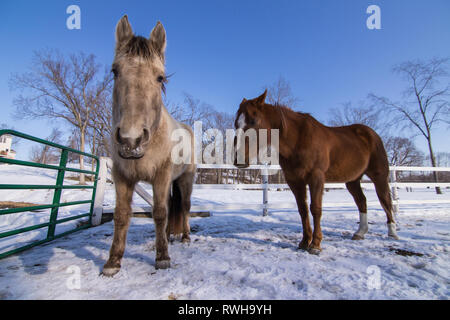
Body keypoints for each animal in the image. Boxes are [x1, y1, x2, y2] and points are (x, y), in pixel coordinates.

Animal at [103, 15, 196, 276]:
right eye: (115, 71)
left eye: (160, 77)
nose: (130, 140)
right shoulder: (122, 177)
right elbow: (122, 215)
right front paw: (113, 262)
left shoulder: (161, 176)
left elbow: (160, 213)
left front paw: (162, 257)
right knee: (170, 207)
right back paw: (169, 237)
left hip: (185, 179)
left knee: (184, 207)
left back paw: (185, 237)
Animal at [234, 90, 400, 255]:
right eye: (236, 123)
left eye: (253, 121)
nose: (239, 160)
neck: (298, 139)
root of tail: (372, 134)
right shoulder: (295, 181)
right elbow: (303, 210)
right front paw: (304, 242)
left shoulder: (316, 177)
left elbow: (315, 209)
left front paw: (315, 244)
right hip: (352, 181)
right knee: (362, 201)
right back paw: (360, 232)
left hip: (379, 176)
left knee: (385, 200)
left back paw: (393, 232)